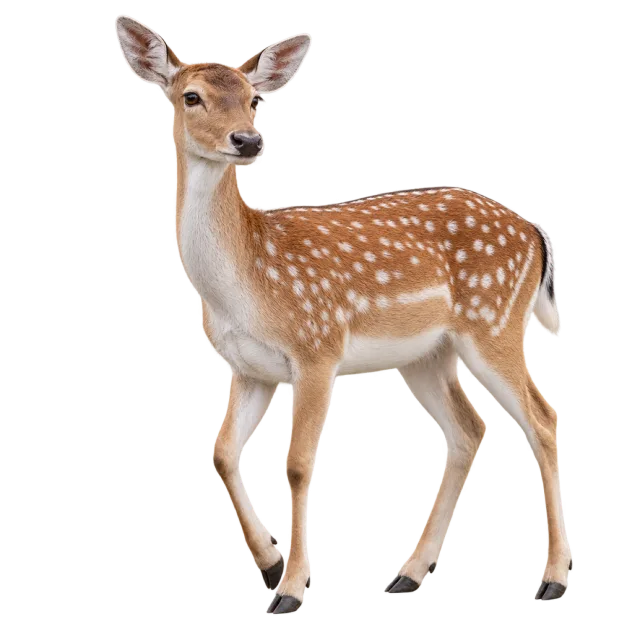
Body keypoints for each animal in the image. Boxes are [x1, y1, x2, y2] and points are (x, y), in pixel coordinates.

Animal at [115, 16, 572, 613]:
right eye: (190, 96)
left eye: (255, 98)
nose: (247, 140)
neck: (246, 283)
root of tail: (536, 234)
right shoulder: (247, 367)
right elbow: (222, 454)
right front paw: (272, 562)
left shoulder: (318, 347)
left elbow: (298, 463)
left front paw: (291, 589)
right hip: (427, 353)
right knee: (469, 429)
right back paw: (408, 576)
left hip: (493, 321)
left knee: (543, 420)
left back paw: (552, 580)